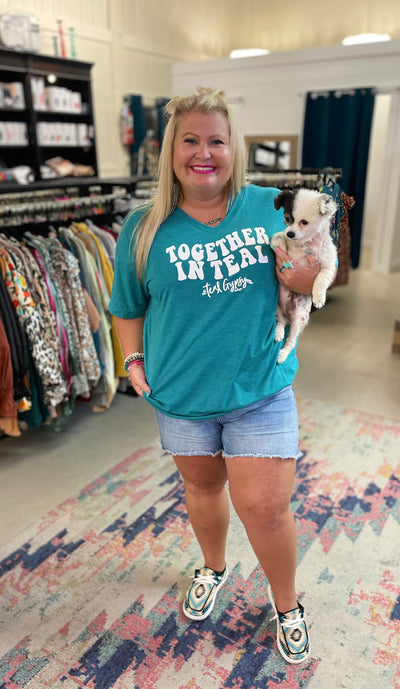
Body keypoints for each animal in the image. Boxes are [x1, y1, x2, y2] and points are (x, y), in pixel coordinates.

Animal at [271, 188, 337, 364]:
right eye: (288, 219)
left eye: (304, 222)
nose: (290, 233)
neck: (306, 244)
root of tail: (288, 316)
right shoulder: (285, 249)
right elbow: (278, 239)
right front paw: (280, 242)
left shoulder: (328, 267)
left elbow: (321, 280)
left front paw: (319, 298)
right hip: (278, 310)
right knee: (280, 323)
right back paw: (278, 333)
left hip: (298, 320)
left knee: (290, 341)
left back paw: (282, 353)